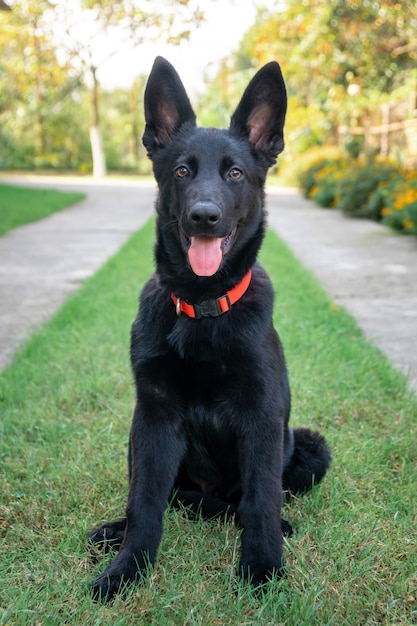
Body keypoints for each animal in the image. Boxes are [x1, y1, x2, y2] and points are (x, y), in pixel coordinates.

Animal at [89, 57, 330, 600]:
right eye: (182, 170)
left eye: (235, 173)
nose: (204, 216)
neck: (202, 309)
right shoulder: (154, 416)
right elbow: (145, 503)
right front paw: (126, 569)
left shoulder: (261, 418)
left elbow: (261, 501)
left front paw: (263, 567)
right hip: (136, 437)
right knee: (170, 496)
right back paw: (116, 530)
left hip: (307, 445)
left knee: (251, 499)